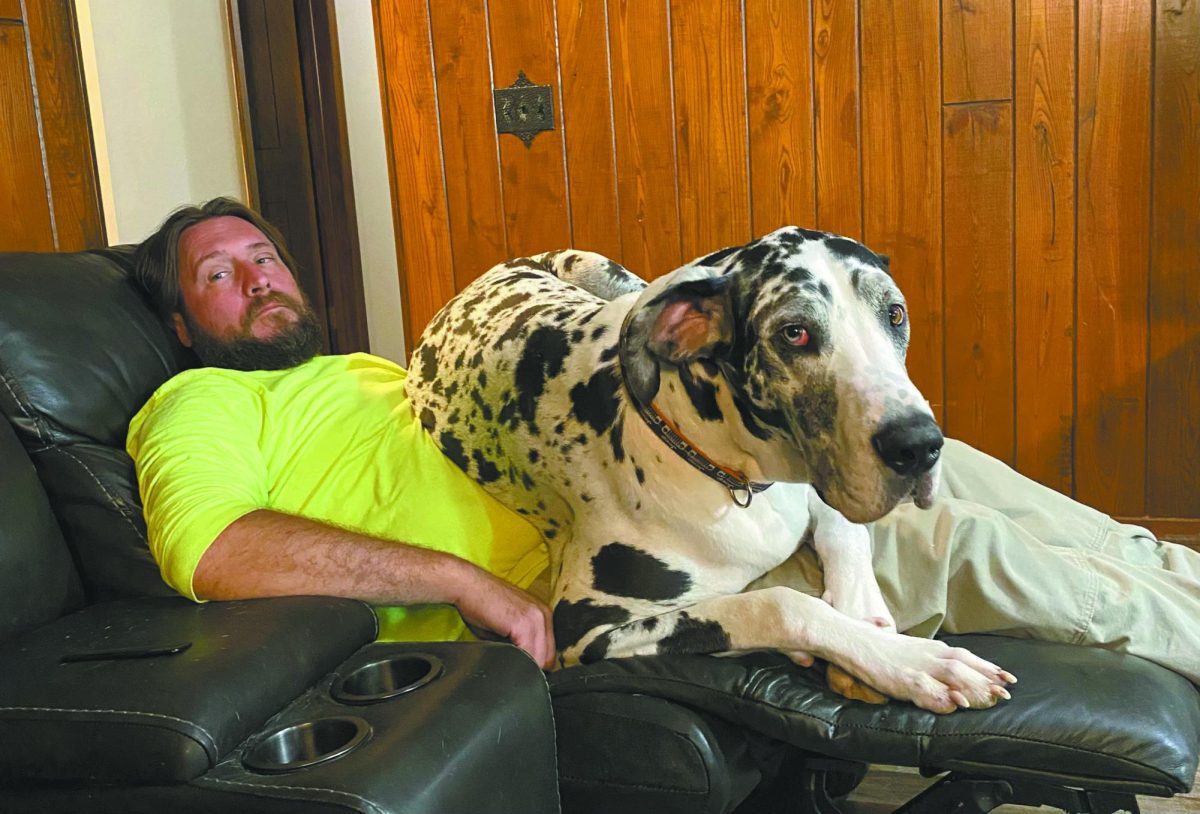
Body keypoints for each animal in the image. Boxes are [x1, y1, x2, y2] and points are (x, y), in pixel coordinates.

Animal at [405, 228, 1012, 715]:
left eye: (895, 314)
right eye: (794, 333)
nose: (918, 446)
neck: (735, 476)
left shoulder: (815, 492)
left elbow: (845, 533)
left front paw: (876, 632)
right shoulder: (586, 626)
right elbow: (778, 603)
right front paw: (919, 663)